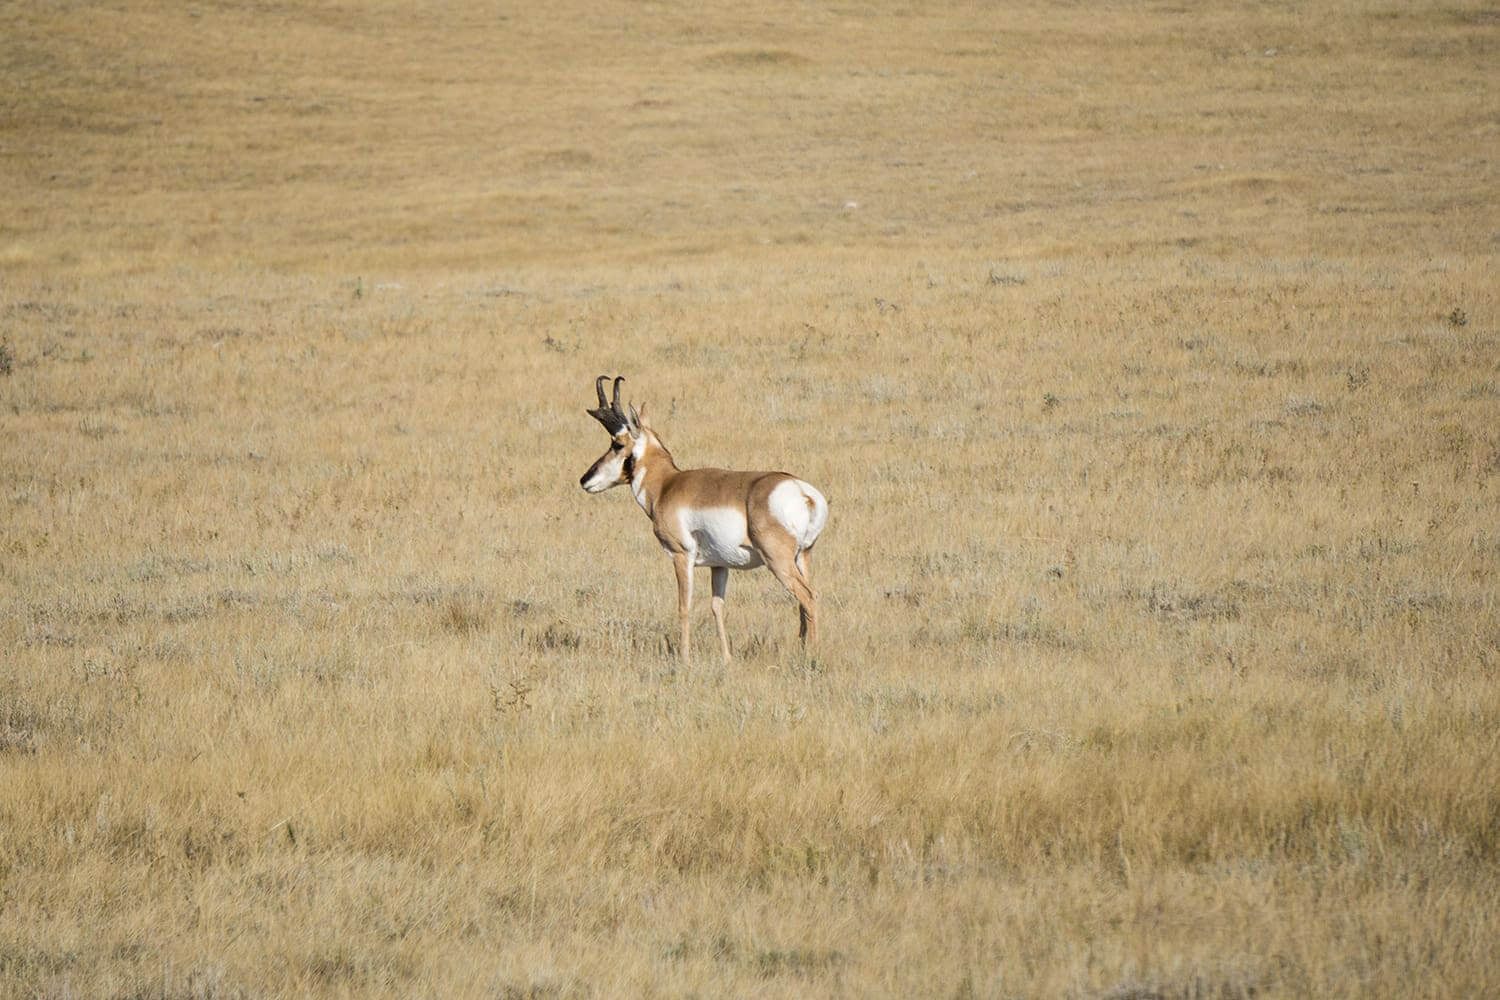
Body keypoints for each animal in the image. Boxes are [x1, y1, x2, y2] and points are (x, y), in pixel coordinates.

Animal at [576, 374, 834, 665]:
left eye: (617, 444)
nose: (584, 479)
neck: (667, 484)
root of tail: (803, 491)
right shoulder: (719, 565)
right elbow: (717, 606)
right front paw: (726, 658)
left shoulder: (681, 556)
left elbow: (684, 605)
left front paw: (685, 658)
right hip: (802, 557)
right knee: (804, 602)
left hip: (778, 561)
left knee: (808, 597)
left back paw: (811, 657)